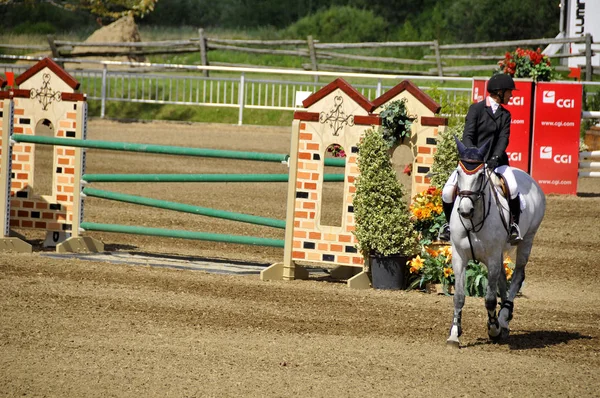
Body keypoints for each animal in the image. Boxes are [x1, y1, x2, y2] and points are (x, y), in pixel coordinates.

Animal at [448, 138, 548, 346]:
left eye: (480, 175)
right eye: (459, 173)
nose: (465, 210)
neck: (473, 221)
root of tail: (528, 178)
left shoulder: (492, 257)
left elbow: (490, 299)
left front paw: (493, 329)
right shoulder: (459, 257)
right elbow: (459, 297)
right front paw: (454, 334)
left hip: (527, 240)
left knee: (517, 276)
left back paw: (503, 317)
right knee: (503, 278)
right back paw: (504, 321)